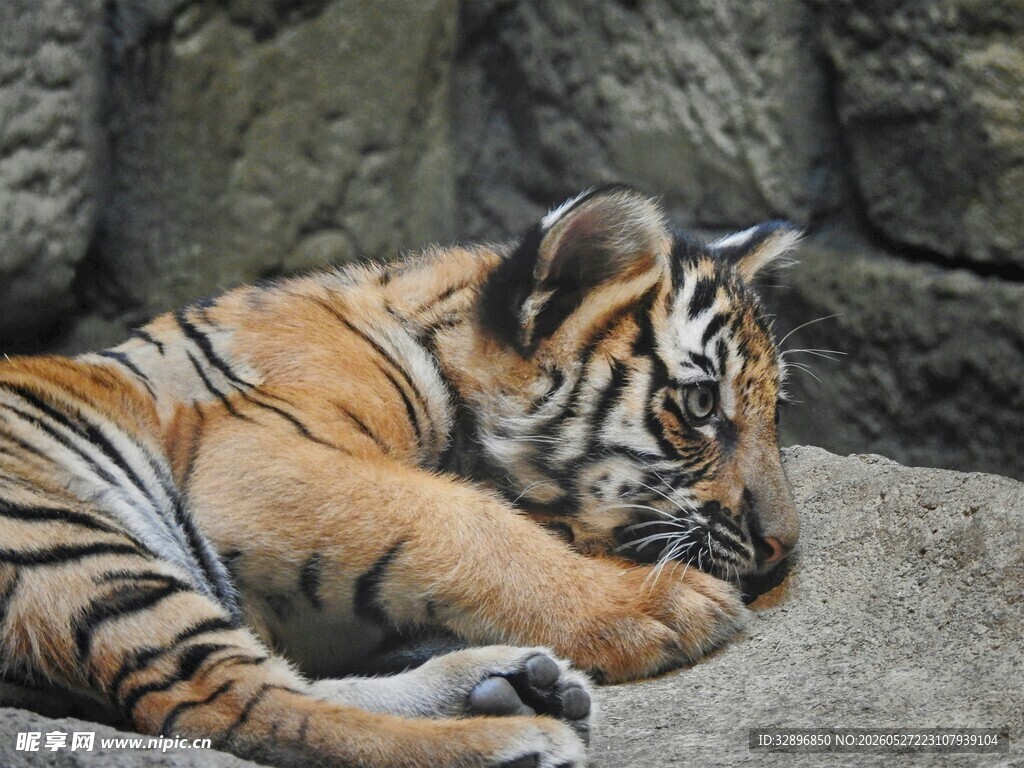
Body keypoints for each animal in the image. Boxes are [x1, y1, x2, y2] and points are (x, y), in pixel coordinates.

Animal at [0, 186, 800, 768]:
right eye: (701, 405)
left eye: (775, 413)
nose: (786, 546)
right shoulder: (252, 454)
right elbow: (460, 517)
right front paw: (656, 605)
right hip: (63, 532)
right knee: (222, 701)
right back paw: (511, 739)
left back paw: (511, 686)